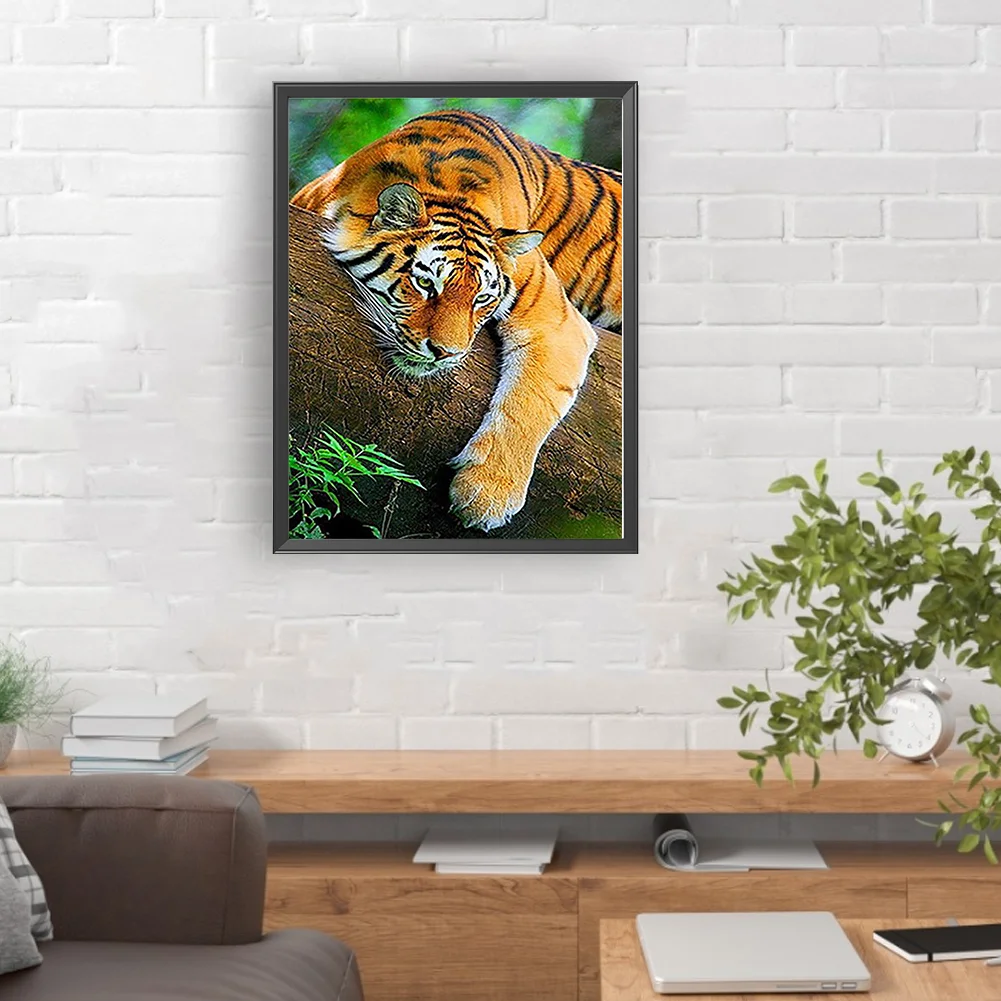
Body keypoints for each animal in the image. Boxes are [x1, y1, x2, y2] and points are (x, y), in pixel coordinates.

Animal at [291, 109, 622, 532]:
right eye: (425, 283)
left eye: (482, 298)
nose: (445, 353)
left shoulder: (557, 322)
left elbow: (529, 404)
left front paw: (487, 495)